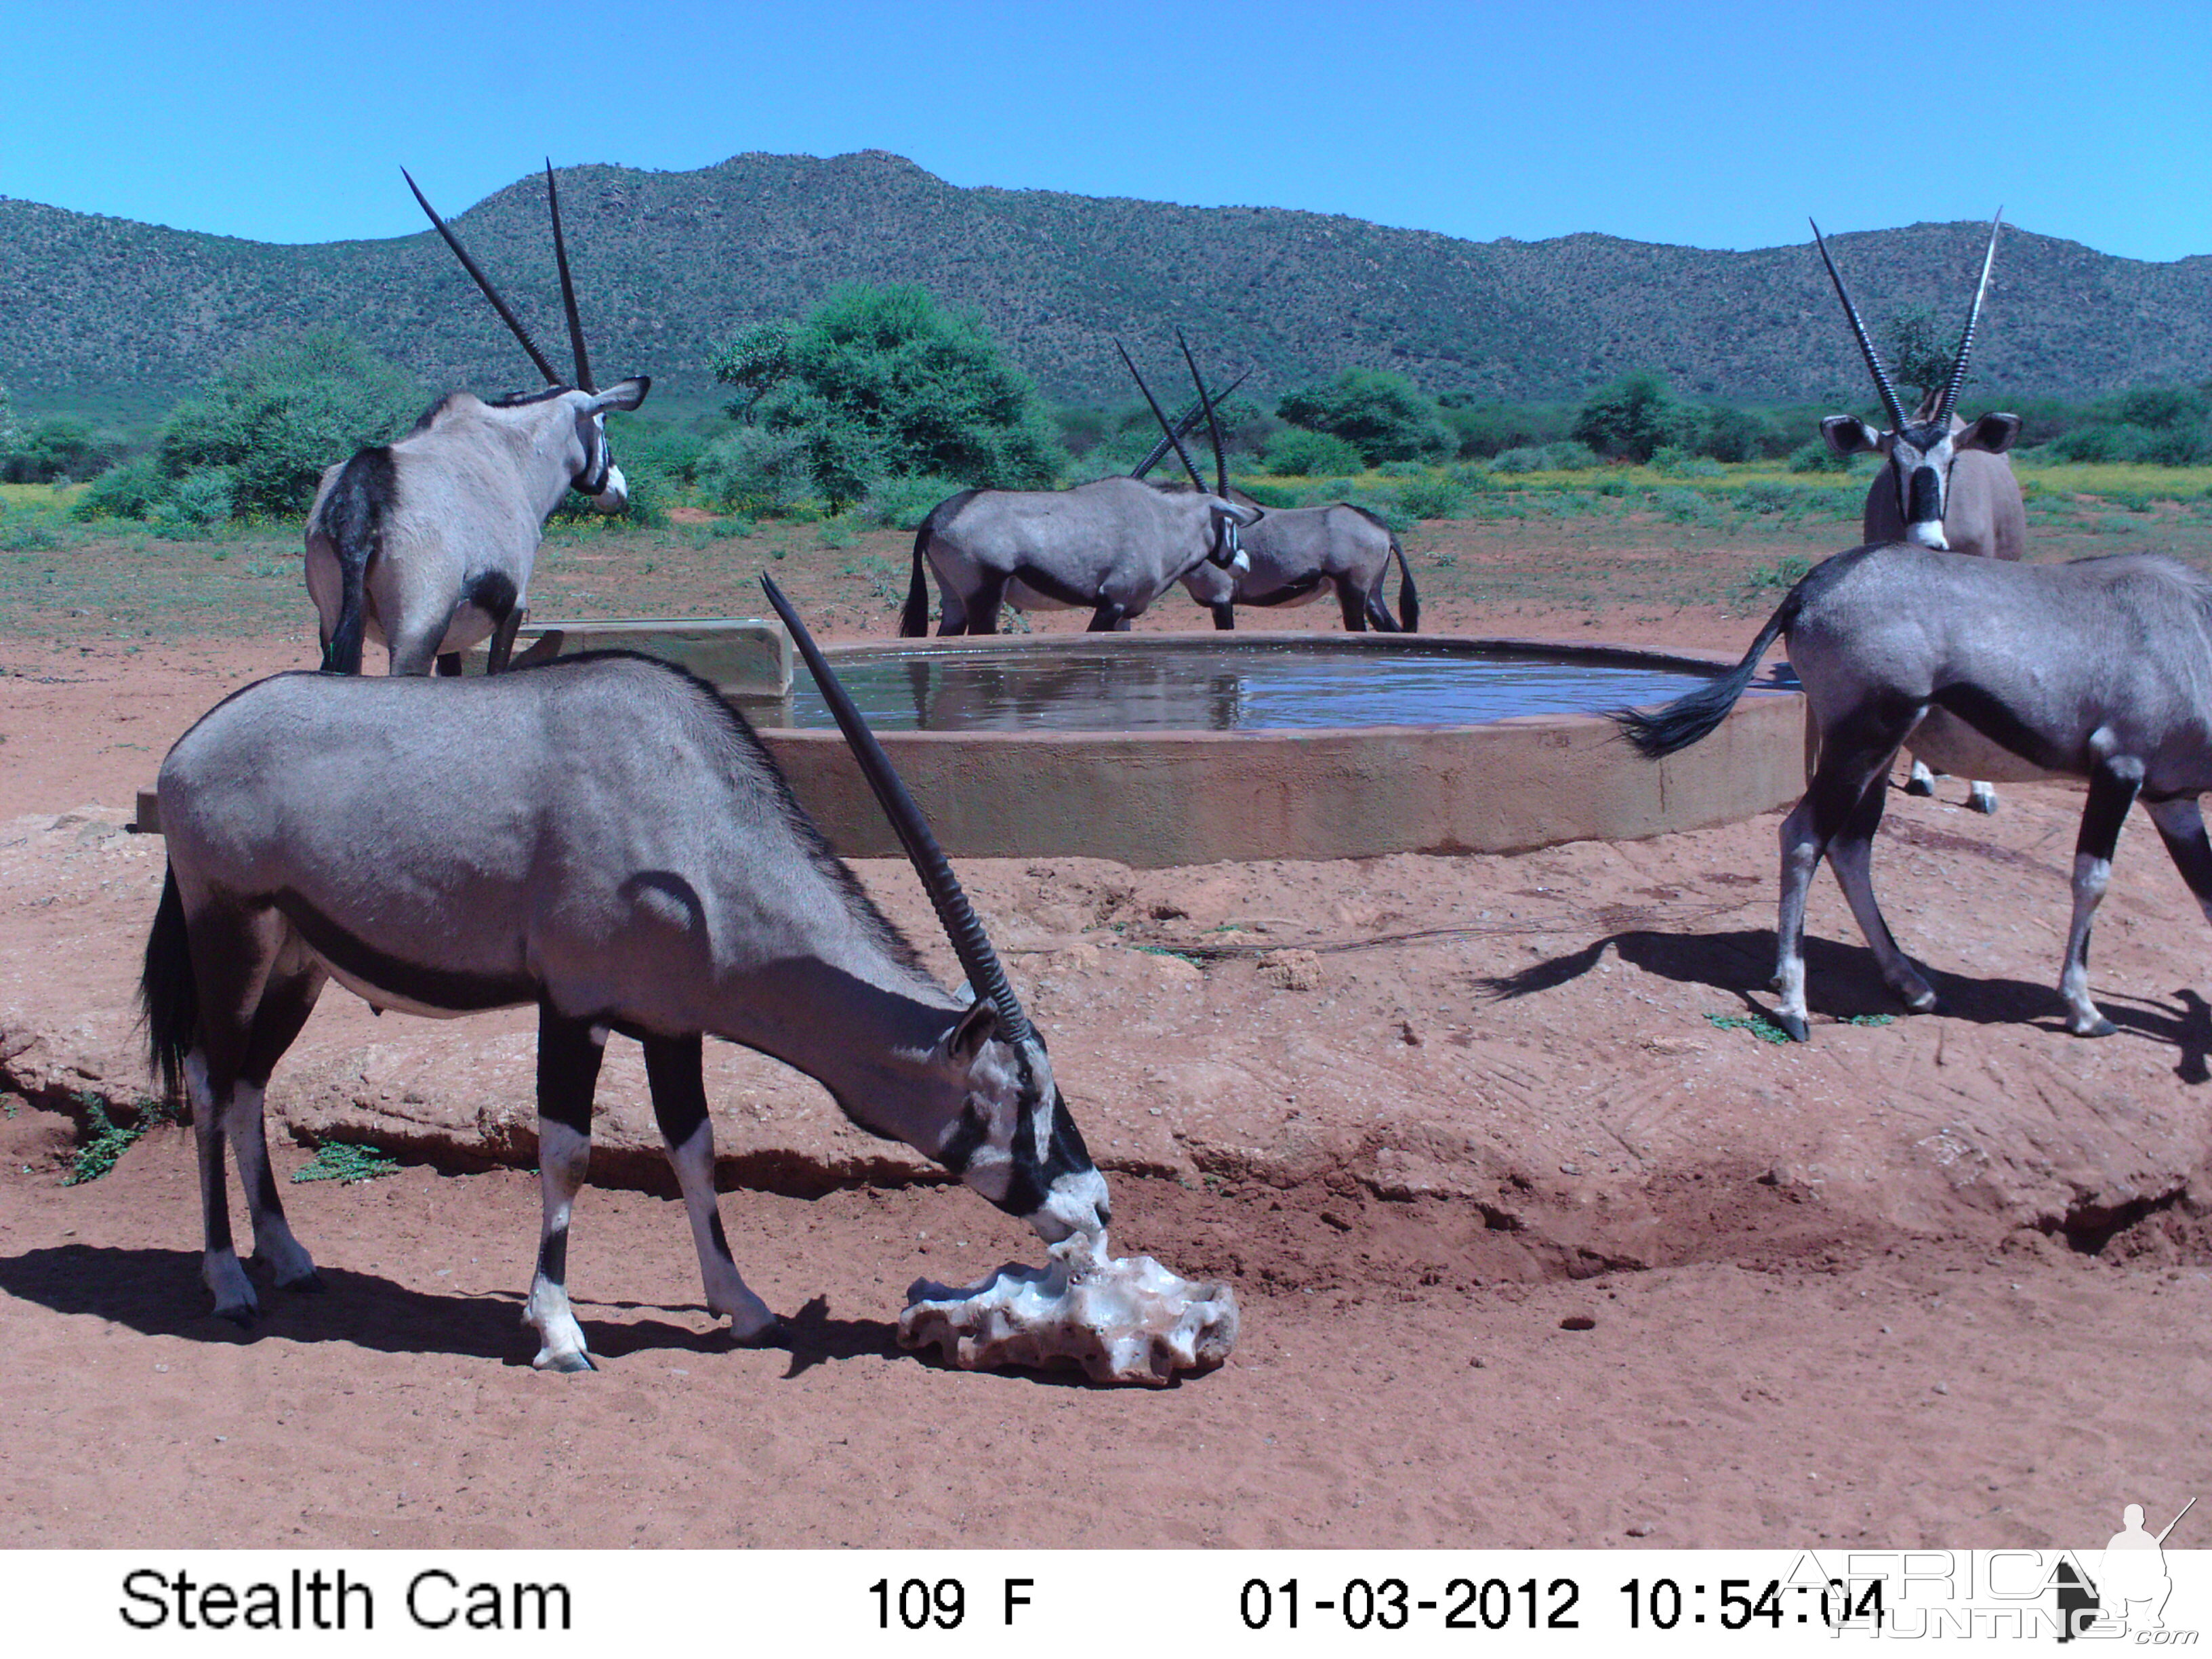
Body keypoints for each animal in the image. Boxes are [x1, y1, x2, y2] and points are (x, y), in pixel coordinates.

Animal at [142, 588, 1106, 1380]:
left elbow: (696, 1150)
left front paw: (744, 1306)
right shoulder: (575, 1009)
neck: (697, 823)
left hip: (297, 964)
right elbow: (568, 1154)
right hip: (230, 938)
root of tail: (189, 748)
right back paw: (228, 1281)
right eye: (1012, 1097)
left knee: (248, 1088)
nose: (1095, 1209)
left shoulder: (672, 1025)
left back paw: (287, 1256)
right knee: (208, 1082)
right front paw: (558, 1332)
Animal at [312, 157, 655, 676]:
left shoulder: (451, 640)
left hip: (331, 626)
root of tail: (358, 503)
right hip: (414, 637)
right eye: (603, 425)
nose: (617, 489)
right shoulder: (514, 608)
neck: (515, 450)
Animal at [889, 338, 1256, 637]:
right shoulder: (1112, 603)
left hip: (954, 599)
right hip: (984, 597)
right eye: (1231, 522)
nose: (1243, 565)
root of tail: (937, 518)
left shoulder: (1126, 612)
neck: (1164, 519)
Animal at [1619, 541, 2212, 1040]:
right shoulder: (2120, 768)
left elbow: (2204, 893)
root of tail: (1814, 586)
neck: (2196, 635)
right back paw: (1794, 1003)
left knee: (1850, 846)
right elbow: (2093, 881)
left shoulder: (2173, 800)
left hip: (1878, 757)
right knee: (1804, 835)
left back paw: (1910, 984)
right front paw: (2084, 1011)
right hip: (1864, 742)